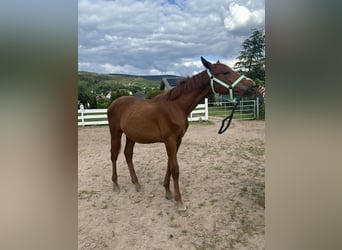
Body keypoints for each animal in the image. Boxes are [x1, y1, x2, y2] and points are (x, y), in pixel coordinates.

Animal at [107, 56, 256, 211]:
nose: (252, 86)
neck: (176, 106)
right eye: (225, 72)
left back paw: (137, 184)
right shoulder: (170, 140)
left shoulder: (178, 140)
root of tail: (113, 103)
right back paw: (116, 185)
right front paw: (179, 202)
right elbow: (175, 169)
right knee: (114, 155)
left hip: (131, 136)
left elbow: (169, 165)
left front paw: (168, 192)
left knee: (128, 154)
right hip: (116, 132)